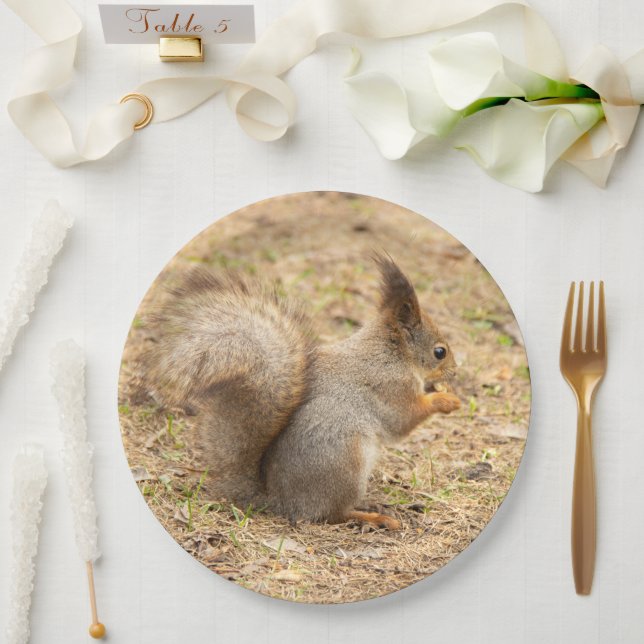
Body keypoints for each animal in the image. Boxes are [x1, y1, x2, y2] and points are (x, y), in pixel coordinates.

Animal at [144, 255, 460, 530]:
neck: (391, 353)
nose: (455, 373)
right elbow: (403, 420)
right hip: (344, 462)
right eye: (440, 352)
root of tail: (282, 502)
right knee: (332, 514)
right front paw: (446, 399)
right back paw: (373, 517)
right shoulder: (390, 386)